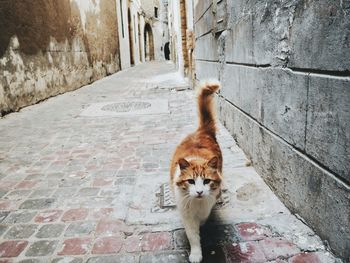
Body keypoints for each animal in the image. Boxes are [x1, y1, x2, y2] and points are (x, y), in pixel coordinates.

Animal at [170, 80, 224, 263]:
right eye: (191, 181)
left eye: (206, 181)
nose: (200, 192)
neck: (197, 204)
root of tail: (202, 131)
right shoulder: (186, 213)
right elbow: (193, 236)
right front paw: (195, 253)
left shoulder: (206, 206)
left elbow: (202, 220)